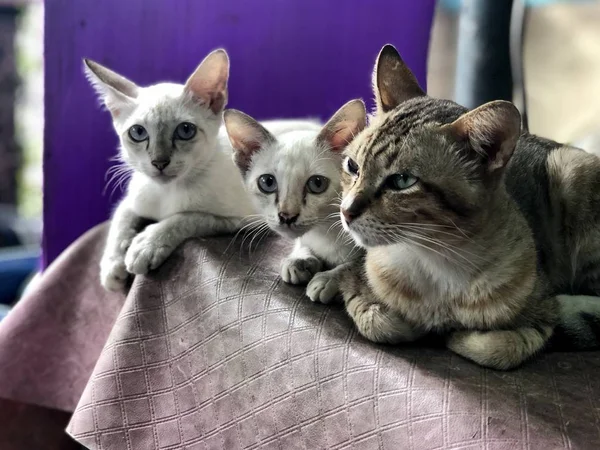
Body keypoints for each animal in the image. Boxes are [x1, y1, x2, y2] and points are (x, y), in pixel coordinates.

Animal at [84, 49, 253, 292]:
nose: (159, 162)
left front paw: (146, 244)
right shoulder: (132, 200)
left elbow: (187, 217)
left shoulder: (243, 220)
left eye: (185, 130)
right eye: (138, 132)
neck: (166, 193)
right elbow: (120, 218)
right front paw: (112, 267)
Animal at [224, 98, 366, 302]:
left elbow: (358, 264)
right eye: (267, 182)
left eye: (317, 183)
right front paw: (298, 260)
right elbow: (302, 244)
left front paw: (327, 279)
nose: (287, 216)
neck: (325, 233)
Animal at [336, 44, 600, 370]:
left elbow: (500, 346)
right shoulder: (357, 285)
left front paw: (456, 335)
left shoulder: (543, 311)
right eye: (352, 166)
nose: (346, 212)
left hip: (574, 172)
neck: (435, 264)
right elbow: (378, 322)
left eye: (402, 181)